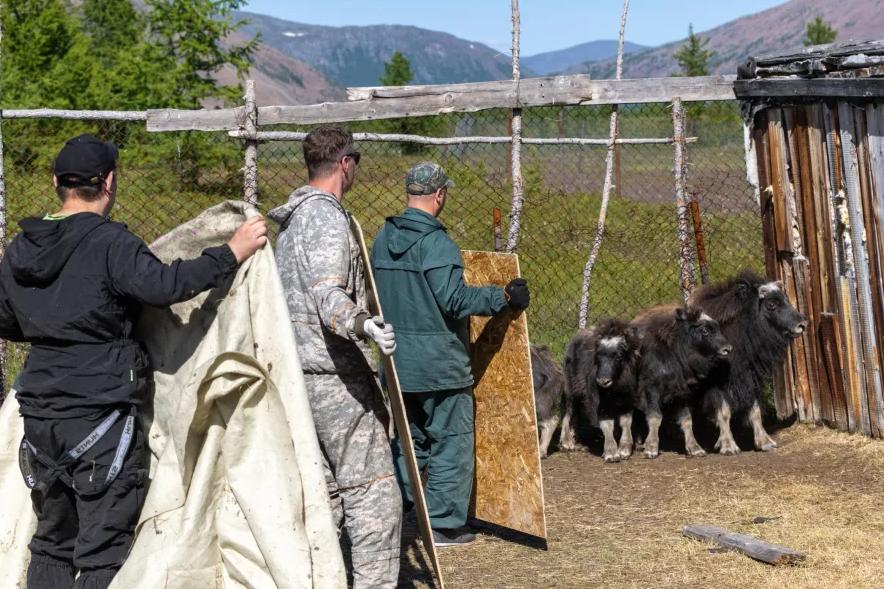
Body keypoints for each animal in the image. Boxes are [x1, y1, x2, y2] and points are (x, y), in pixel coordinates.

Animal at [564, 320, 640, 462]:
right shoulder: (599, 404)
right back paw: (567, 443)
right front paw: (611, 453)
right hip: (571, 389)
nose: (603, 381)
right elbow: (607, 424)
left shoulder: (628, 400)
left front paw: (624, 450)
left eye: (619, 355)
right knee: (569, 411)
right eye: (598, 355)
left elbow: (626, 422)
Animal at [636, 306, 732, 458]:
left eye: (717, 327)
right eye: (705, 330)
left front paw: (695, 448)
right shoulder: (651, 389)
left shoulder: (682, 394)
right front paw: (651, 449)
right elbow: (655, 417)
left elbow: (687, 420)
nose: (727, 349)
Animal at [692, 272, 808, 454]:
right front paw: (728, 446)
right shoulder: (716, 384)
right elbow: (723, 412)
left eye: (785, 299)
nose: (802, 324)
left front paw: (765, 442)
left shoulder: (750, 378)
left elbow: (755, 410)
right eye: (771, 304)